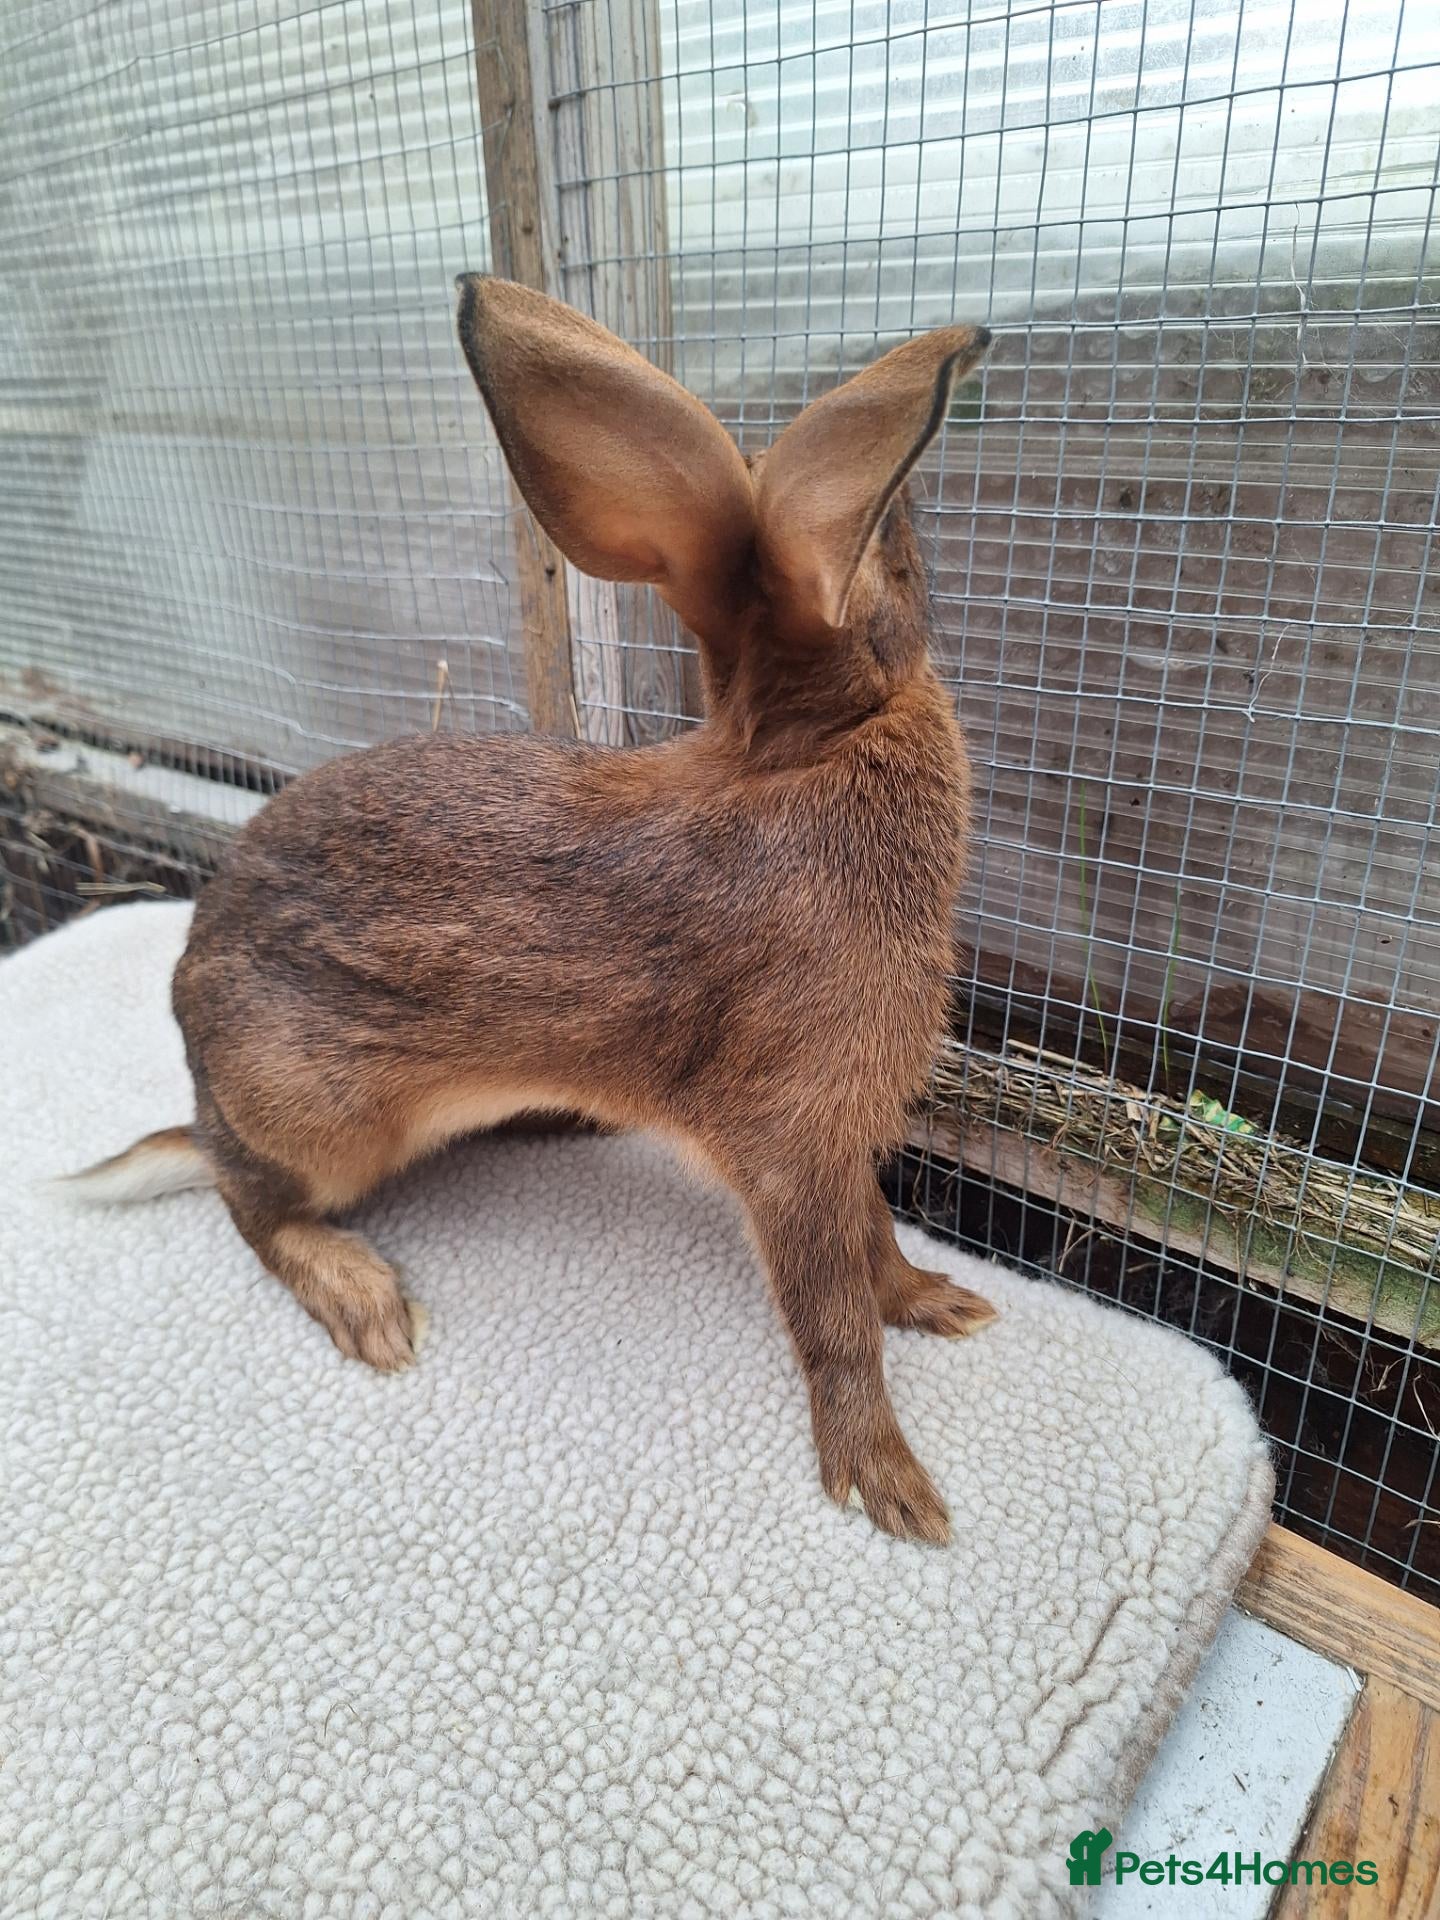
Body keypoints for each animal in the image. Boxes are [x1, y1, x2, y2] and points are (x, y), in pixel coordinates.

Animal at [65, 278, 996, 1544]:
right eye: (897, 567)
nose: (918, 558)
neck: (802, 756)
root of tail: (201, 1075)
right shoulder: (792, 1138)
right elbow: (832, 1309)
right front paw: (891, 1484)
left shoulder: (841, 1138)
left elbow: (876, 1243)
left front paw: (940, 1303)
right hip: (320, 1120)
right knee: (245, 1201)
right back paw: (363, 1297)